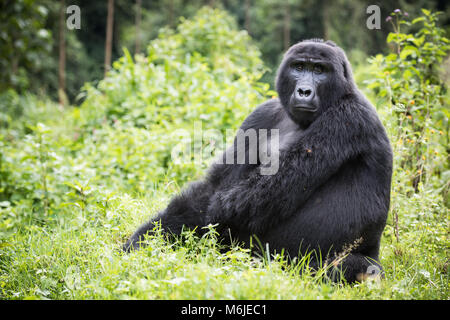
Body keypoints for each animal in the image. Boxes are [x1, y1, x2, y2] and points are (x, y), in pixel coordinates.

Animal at [125, 39, 392, 282]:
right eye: (299, 67)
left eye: (319, 70)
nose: (304, 91)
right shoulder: (260, 115)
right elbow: (213, 188)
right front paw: (145, 240)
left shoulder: (348, 117)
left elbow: (246, 199)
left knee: (343, 268)